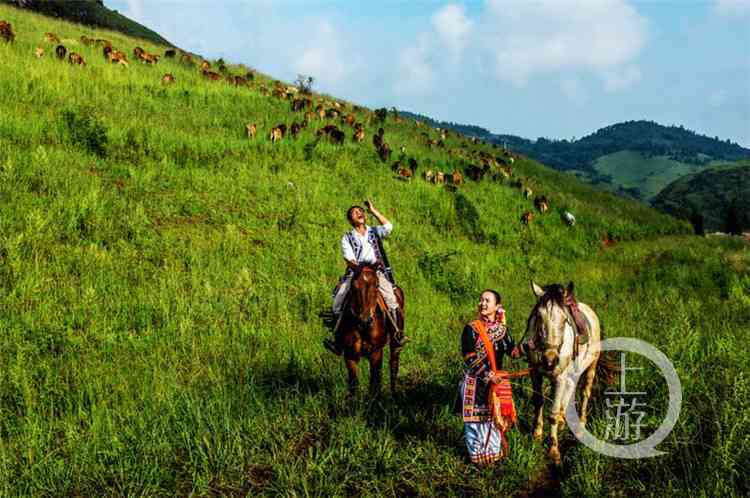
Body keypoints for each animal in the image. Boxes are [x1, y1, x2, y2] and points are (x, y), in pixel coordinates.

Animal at [340, 264, 406, 396]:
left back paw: (394, 394)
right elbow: (353, 383)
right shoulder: (350, 354)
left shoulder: (376, 352)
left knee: (393, 364)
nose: (365, 320)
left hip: (395, 343)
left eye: (376, 285)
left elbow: (375, 382)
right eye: (353, 286)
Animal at [528, 282, 616, 464]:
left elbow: (553, 414)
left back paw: (581, 422)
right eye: (539, 316)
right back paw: (564, 420)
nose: (550, 360)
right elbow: (538, 402)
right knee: (568, 393)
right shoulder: (535, 374)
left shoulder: (559, 378)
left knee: (584, 392)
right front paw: (536, 434)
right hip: (572, 373)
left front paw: (553, 451)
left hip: (591, 366)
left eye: (564, 320)